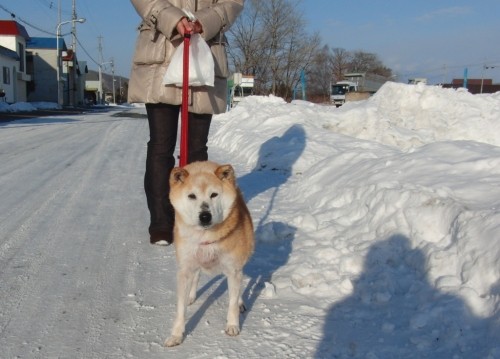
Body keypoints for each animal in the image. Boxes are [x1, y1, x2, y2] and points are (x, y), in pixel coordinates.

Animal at [165, 162, 254, 348]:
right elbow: (180, 308)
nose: (205, 216)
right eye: (192, 196)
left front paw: (232, 325)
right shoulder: (184, 270)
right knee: (196, 276)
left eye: (214, 194)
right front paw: (176, 335)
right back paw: (191, 296)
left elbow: (232, 302)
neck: (205, 237)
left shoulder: (233, 270)